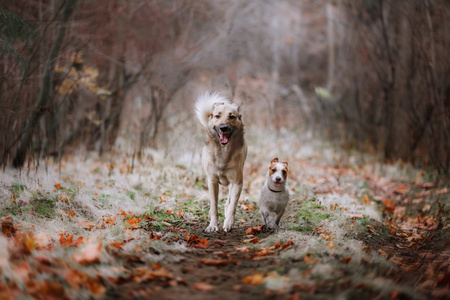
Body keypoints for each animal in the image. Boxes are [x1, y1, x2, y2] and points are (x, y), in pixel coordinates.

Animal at [195, 91, 248, 232]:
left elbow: (232, 205)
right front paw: (213, 225)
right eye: (217, 116)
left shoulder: (237, 182)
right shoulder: (212, 181)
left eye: (231, 116)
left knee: (229, 200)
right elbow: (214, 206)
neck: (223, 152)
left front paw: (229, 223)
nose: (223, 127)